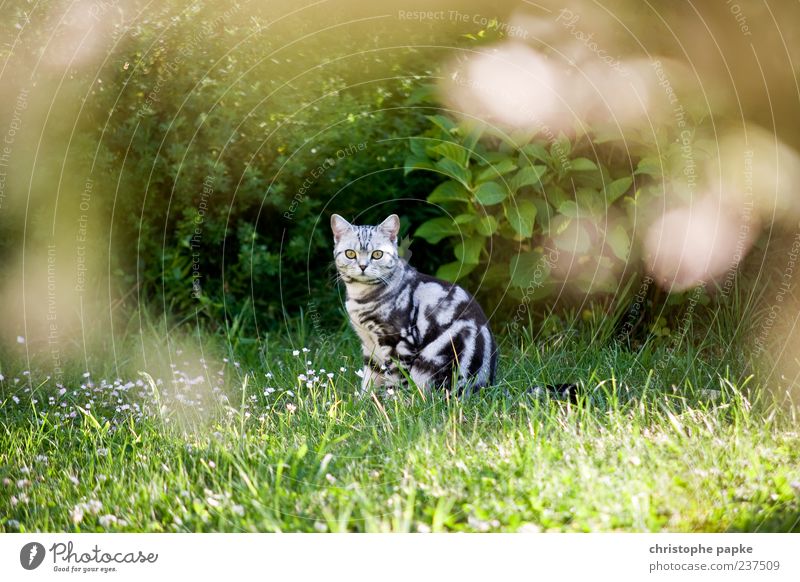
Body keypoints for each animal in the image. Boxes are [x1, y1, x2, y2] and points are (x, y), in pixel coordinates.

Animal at [330, 214, 494, 396]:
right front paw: (364, 400)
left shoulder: (398, 342)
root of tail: (483, 386)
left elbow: (395, 381)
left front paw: (391, 402)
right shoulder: (369, 344)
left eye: (377, 254)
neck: (360, 296)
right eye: (350, 254)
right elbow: (370, 379)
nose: (363, 266)